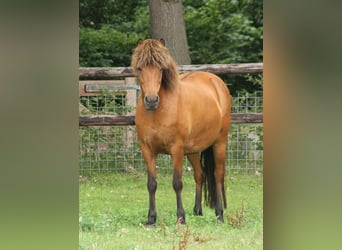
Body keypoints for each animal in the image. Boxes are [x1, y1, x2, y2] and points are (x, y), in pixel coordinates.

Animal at [132, 38, 231, 226]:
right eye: (140, 68)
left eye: (161, 69)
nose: (151, 100)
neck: (158, 111)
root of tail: (216, 82)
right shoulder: (147, 149)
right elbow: (151, 184)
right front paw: (151, 218)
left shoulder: (176, 149)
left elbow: (177, 183)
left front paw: (181, 217)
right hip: (192, 150)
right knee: (200, 174)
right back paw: (197, 210)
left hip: (219, 143)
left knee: (218, 176)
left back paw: (220, 214)